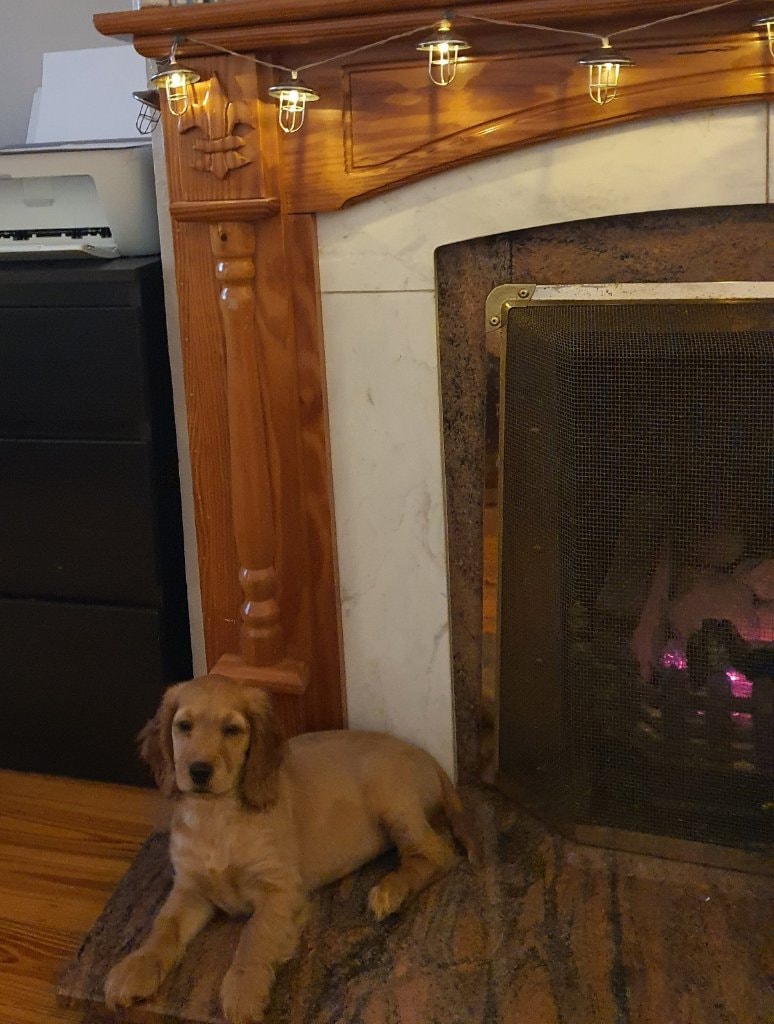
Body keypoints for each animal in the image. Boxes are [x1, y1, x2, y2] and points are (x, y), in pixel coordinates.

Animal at [104, 674, 475, 1024]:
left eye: (231, 730)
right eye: (184, 726)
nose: (198, 771)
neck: (216, 815)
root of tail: (430, 758)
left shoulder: (280, 890)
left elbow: (254, 936)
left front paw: (243, 990)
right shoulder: (190, 887)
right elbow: (164, 927)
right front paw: (134, 969)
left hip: (391, 798)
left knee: (437, 853)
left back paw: (390, 890)